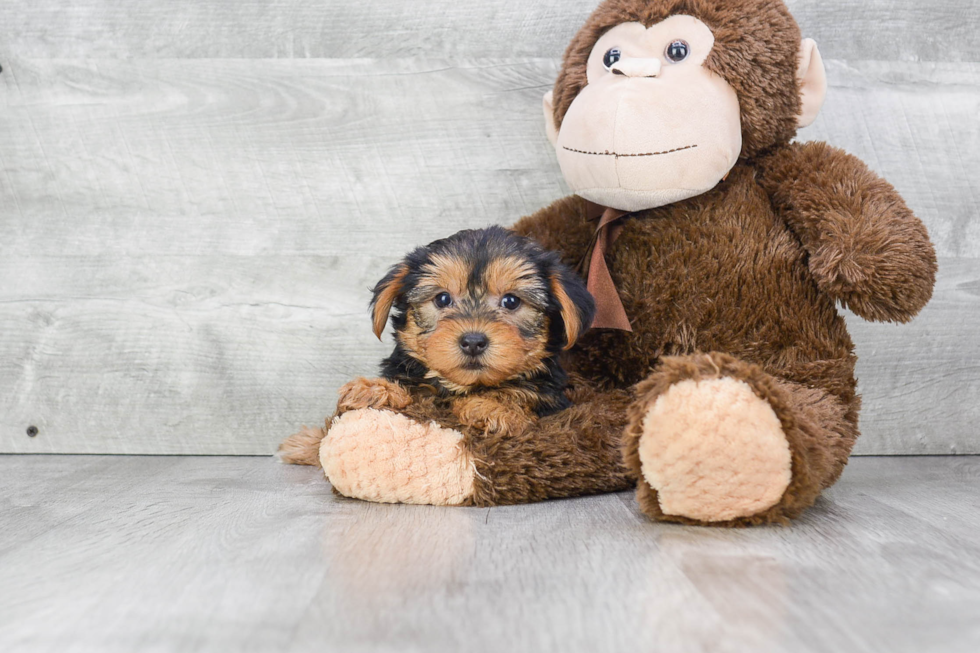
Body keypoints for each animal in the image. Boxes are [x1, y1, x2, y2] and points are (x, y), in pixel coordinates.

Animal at [336, 225, 596, 438]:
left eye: (511, 301)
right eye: (442, 299)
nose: (473, 341)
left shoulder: (552, 399)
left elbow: (522, 393)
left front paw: (493, 407)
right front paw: (376, 389)